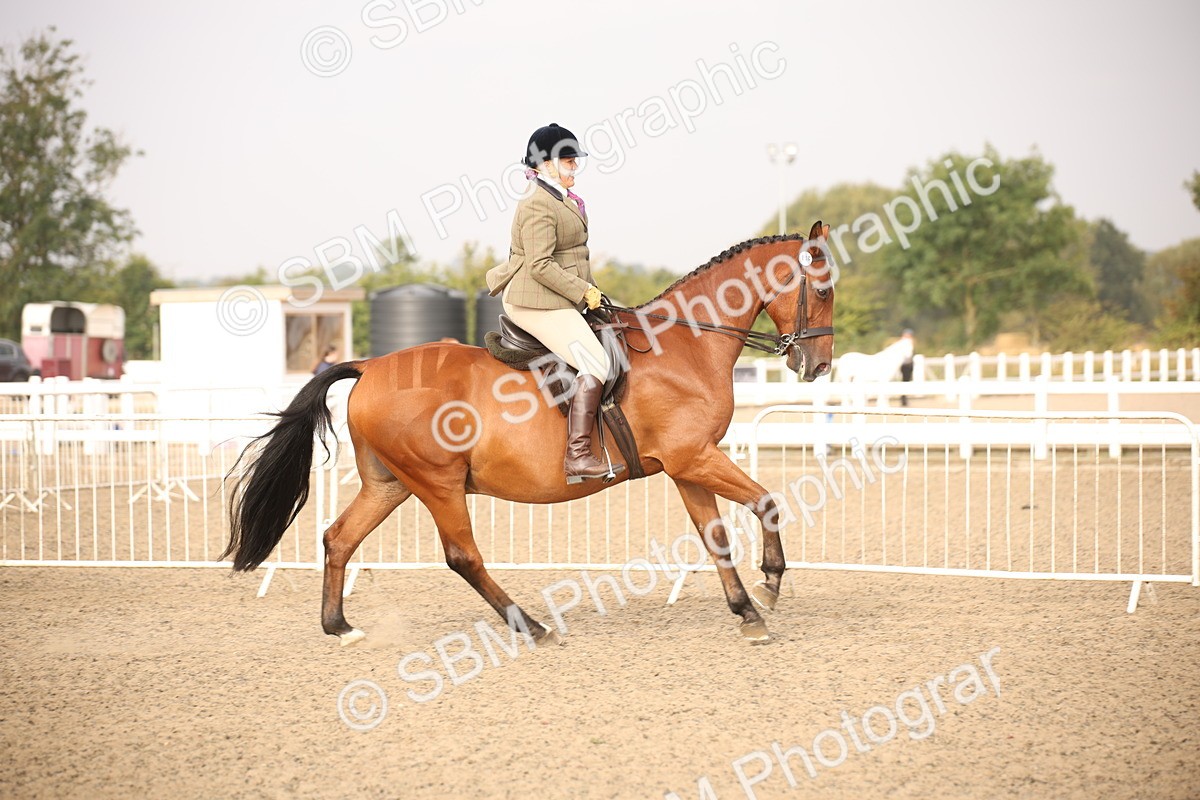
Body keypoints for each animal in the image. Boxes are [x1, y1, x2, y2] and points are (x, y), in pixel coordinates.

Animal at [221, 221, 836, 645]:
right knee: (462, 556)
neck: (685, 344)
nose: (817, 366)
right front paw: (771, 585)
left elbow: (717, 537)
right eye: (825, 289)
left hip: (389, 484)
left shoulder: (687, 465)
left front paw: (748, 613)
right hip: (438, 483)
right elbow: (767, 501)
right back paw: (531, 626)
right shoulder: (694, 458)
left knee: (339, 538)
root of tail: (369, 366)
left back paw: (339, 626)